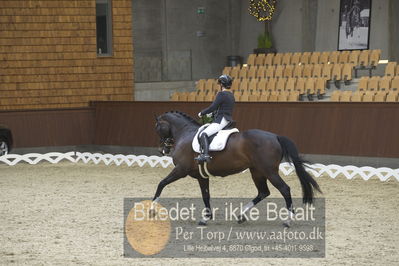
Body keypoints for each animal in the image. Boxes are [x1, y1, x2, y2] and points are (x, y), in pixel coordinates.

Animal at [153, 111, 322, 225]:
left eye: (157, 127)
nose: (163, 150)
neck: (185, 133)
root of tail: (275, 136)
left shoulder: (180, 170)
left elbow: (161, 183)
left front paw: (152, 208)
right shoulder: (201, 176)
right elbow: (206, 195)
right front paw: (206, 218)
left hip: (269, 171)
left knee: (284, 189)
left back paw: (288, 220)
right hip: (257, 171)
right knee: (263, 192)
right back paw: (241, 215)